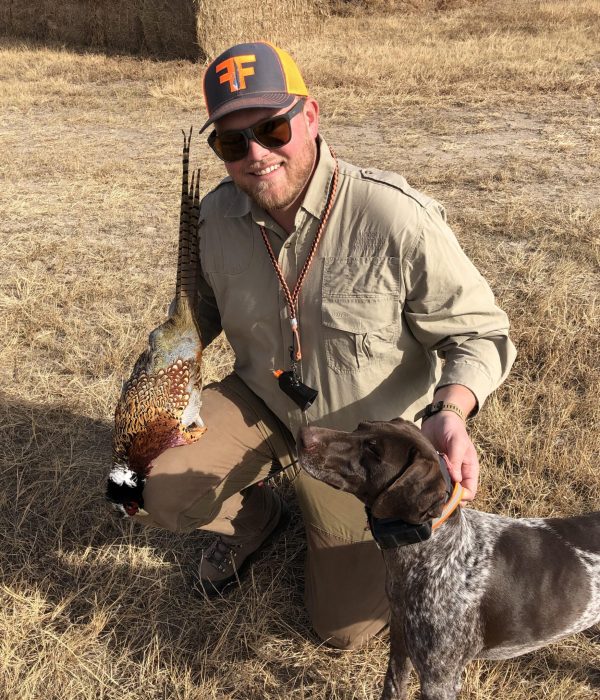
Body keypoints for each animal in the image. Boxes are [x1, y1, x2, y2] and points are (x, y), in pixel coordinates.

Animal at [298, 416, 600, 700]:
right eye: (361, 426)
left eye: (373, 450)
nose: (303, 434)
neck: (435, 547)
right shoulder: (400, 644)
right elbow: (393, 688)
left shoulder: (439, 680)